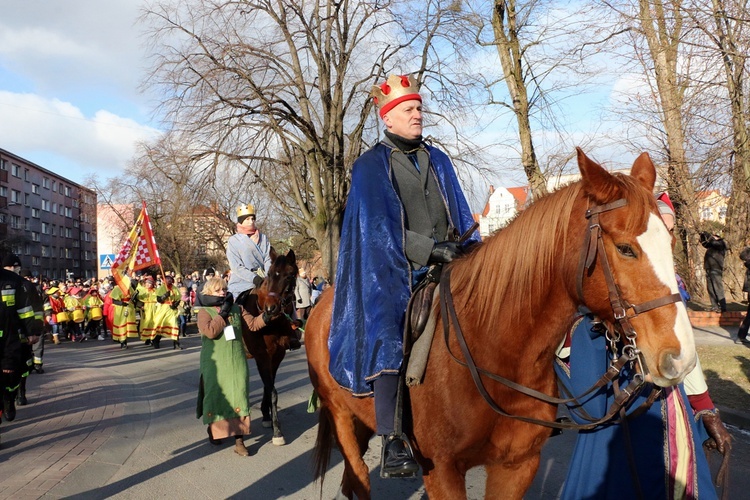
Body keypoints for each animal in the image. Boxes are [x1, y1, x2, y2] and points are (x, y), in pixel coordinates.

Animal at [241, 246, 300, 446]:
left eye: (290, 275)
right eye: (269, 274)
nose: (270, 308)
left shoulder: (276, 356)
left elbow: (269, 386)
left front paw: (267, 416)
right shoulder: (262, 357)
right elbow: (272, 389)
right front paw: (277, 431)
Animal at [306, 149, 700, 500]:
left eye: (669, 240)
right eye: (625, 248)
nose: (680, 358)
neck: (496, 353)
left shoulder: (517, 466)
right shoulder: (443, 472)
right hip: (341, 416)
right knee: (358, 476)